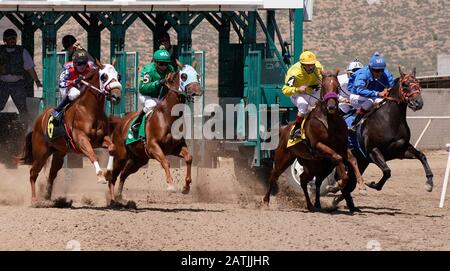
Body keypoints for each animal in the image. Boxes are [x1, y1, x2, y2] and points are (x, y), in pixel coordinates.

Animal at [18, 60, 121, 204]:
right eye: (103, 77)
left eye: (118, 76)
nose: (116, 96)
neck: (89, 110)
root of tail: (38, 121)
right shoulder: (81, 139)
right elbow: (92, 155)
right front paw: (100, 176)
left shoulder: (100, 139)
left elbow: (112, 147)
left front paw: (109, 172)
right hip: (41, 153)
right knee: (33, 172)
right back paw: (34, 199)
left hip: (59, 153)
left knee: (52, 174)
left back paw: (48, 197)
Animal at [104, 64, 201, 204]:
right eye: (184, 76)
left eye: (197, 75)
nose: (197, 92)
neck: (168, 116)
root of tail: (120, 123)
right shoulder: (152, 146)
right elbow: (165, 162)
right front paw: (170, 185)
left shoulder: (176, 147)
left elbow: (189, 158)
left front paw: (186, 187)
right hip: (121, 155)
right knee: (113, 176)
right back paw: (112, 199)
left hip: (138, 160)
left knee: (123, 174)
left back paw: (119, 196)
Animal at [264, 70, 362, 212]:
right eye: (324, 86)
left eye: (337, 86)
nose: (331, 106)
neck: (329, 121)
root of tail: (283, 129)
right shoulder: (318, 145)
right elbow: (338, 158)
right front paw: (340, 183)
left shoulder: (342, 146)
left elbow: (352, 159)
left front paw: (360, 181)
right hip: (282, 158)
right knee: (273, 176)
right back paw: (266, 201)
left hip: (312, 165)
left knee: (304, 180)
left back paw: (311, 205)